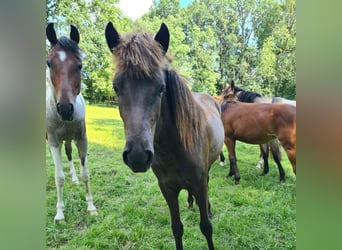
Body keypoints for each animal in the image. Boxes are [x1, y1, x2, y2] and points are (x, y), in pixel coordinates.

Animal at [45, 23, 96, 222]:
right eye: (49, 63)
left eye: (79, 65)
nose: (66, 109)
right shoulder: (53, 142)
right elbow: (59, 177)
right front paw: (59, 213)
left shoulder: (82, 139)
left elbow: (85, 174)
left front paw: (91, 207)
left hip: (68, 139)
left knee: (69, 155)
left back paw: (73, 178)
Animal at [104, 22, 224, 250]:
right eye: (116, 87)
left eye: (161, 88)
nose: (137, 156)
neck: (174, 150)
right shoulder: (167, 188)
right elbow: (177, 228)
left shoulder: (200, 183)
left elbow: (207, 227)